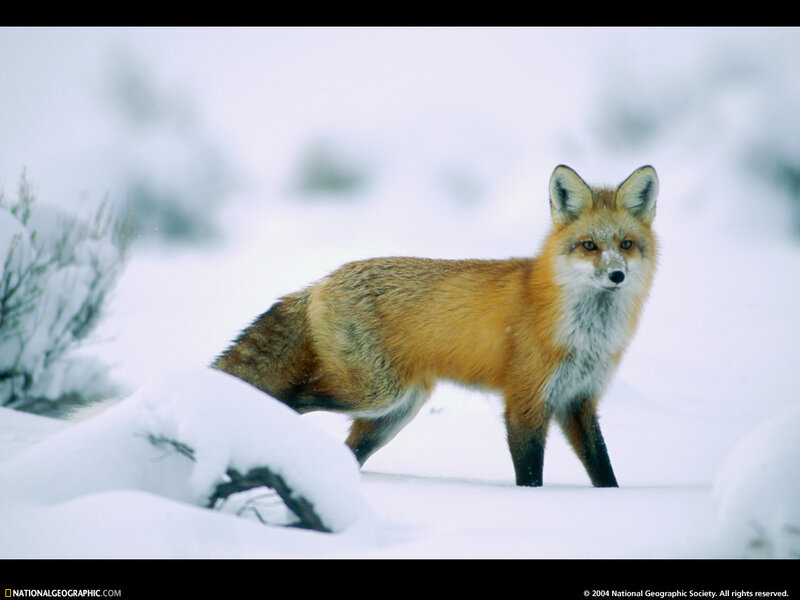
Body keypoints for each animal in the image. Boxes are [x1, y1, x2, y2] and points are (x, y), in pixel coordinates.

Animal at [213, 164, 658, 487]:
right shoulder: (524, 402)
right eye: (589, 246)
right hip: (374, 392)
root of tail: (320, 282)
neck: (586, 336)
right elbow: (530, 476)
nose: (616, 275)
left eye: (626, 245)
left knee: (346, 448)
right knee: (292, 398)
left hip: (394, 411)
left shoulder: (579, 401)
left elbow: (605, 474)